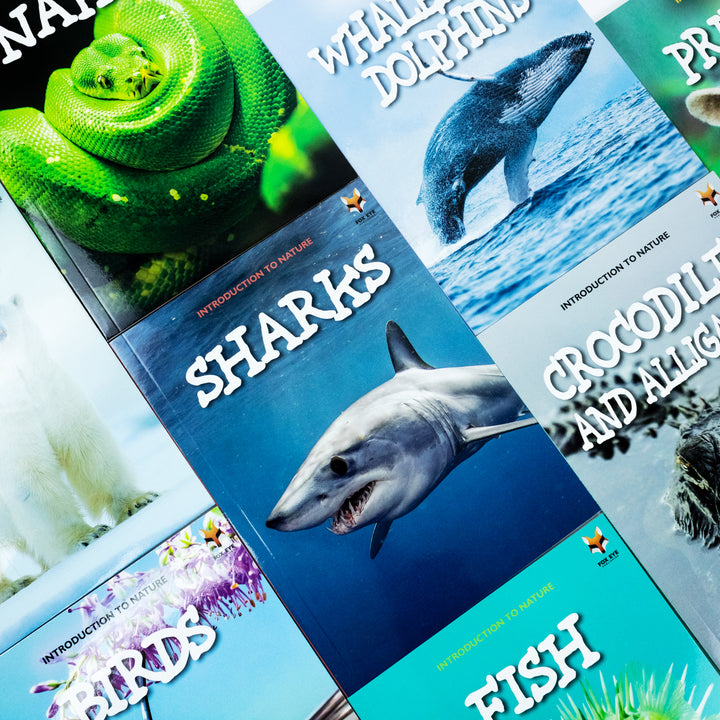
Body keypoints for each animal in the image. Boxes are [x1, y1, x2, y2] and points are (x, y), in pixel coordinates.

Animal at [0, 295, 157, 602]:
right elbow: (31, 479)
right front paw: (88, 536)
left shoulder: (49, 389)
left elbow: (86, 445)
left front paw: (138, 501)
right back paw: (12, 586)